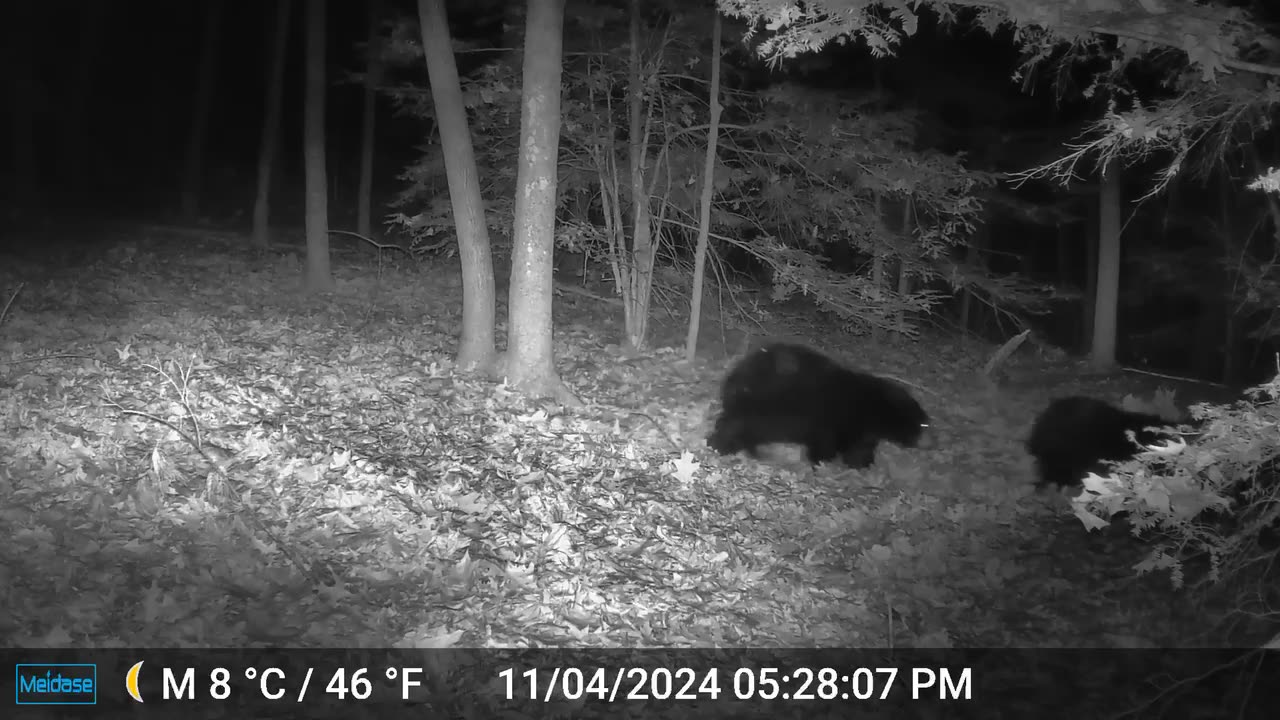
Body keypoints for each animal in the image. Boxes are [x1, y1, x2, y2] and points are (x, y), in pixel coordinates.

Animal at [707, 343, 930, 468]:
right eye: (922, 424)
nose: (928, 442)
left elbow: (858, 445)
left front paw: (861, 462)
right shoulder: (832, 418)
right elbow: (831, 443)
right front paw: (824, 461)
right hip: (762, 405)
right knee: (737, 425)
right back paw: (722, 445)